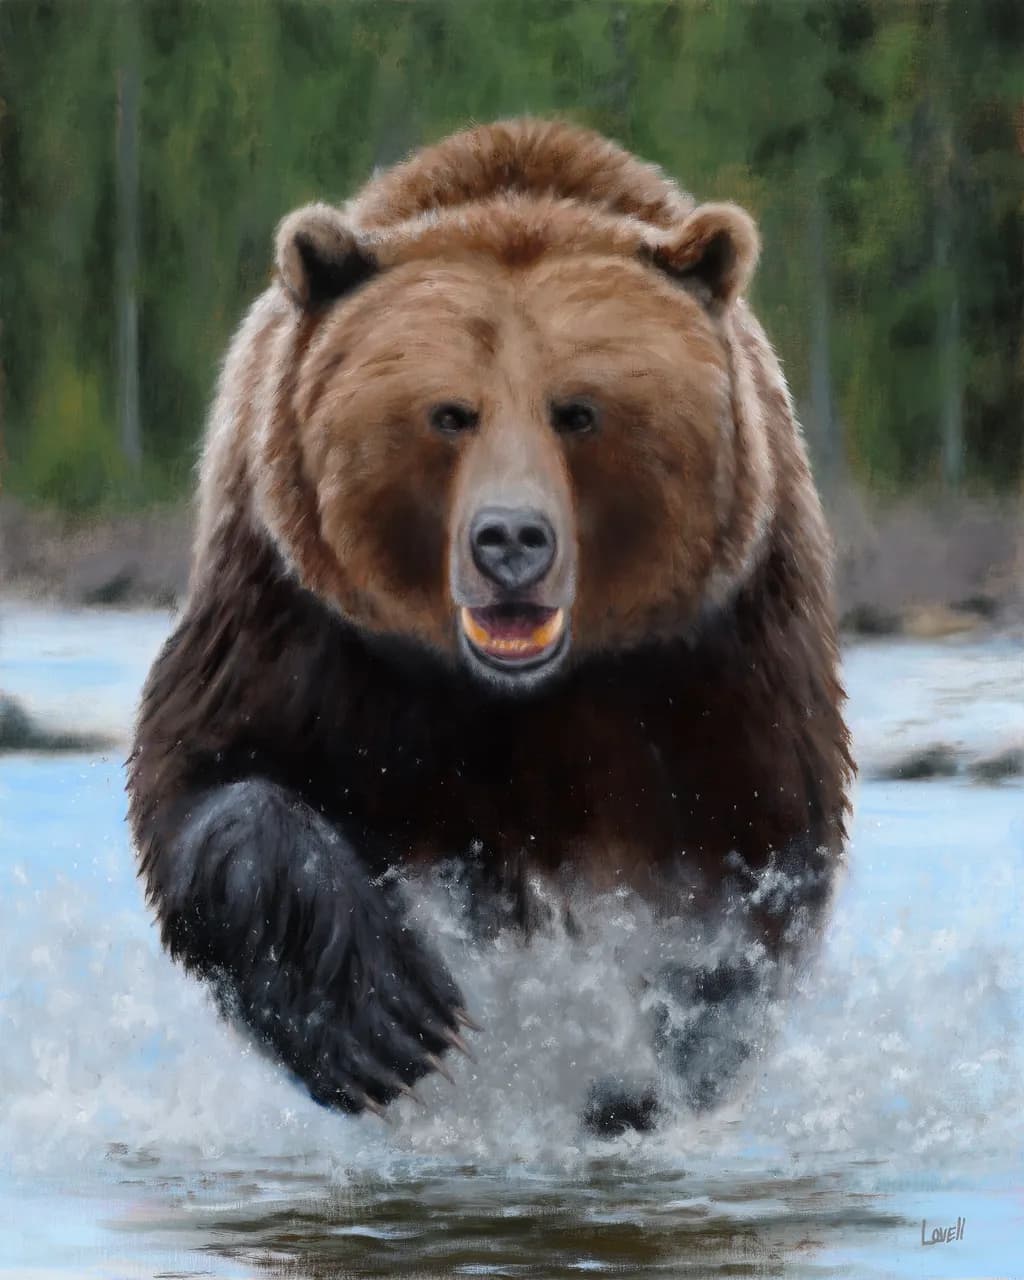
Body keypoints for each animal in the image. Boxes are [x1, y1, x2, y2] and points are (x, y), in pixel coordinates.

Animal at [128, 118, 852, 1131]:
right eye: (449, 415)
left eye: (578, 411)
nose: (511, 540)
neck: (515, 692)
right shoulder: (294, 615)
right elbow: (208, 785)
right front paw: (389, 1021)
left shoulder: (716, 655)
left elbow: (743, 866)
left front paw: (638, 1058)